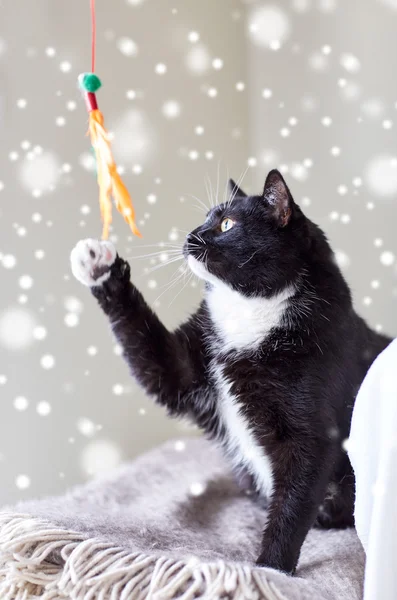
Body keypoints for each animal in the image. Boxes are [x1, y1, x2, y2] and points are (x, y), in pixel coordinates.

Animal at [70, 170, 390, 576]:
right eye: (206, 218)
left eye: (227, 224)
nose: (190, 236)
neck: (248, 312)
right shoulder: (186, 364)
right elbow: (150, 351)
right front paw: (100, 268)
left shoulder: (314, 433)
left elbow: (294, 501)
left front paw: (271, 571)